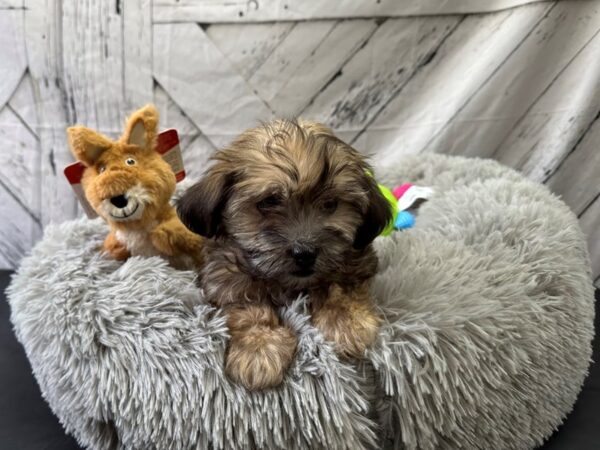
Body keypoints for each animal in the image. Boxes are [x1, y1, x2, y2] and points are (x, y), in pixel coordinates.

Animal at [176, 119, 392, 390]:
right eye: (268, 202)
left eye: (331, 204)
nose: (305, 252)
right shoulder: (224, 277)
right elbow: (246, 307)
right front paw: (258, 347)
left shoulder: (355, 261)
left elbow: (341, 287)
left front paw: (347, 321)